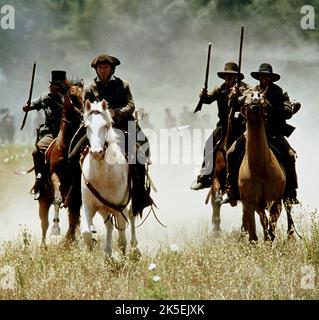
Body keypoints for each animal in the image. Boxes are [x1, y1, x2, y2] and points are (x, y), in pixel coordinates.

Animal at [38, 82, 84, 248]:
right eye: (73, 96)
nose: (84, 113)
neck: (64, 147)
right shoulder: (54, 175)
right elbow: (57, 199)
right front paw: (56, 227)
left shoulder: (76, 184)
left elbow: (74, 214)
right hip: (43, 200)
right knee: (44, 222)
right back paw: (44, 245)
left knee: (73, 219)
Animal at [80, 99, 140, 258]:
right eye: (87, 126)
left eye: (105, 126)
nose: (96, 152)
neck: (103, 176)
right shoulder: (89, 205)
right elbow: (86, 232)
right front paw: (90, 251)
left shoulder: (120, 207)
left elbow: (121, 239)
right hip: (103, 208)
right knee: (108, 226)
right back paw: (107, 253)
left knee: (131, 216)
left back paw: (135, 248)